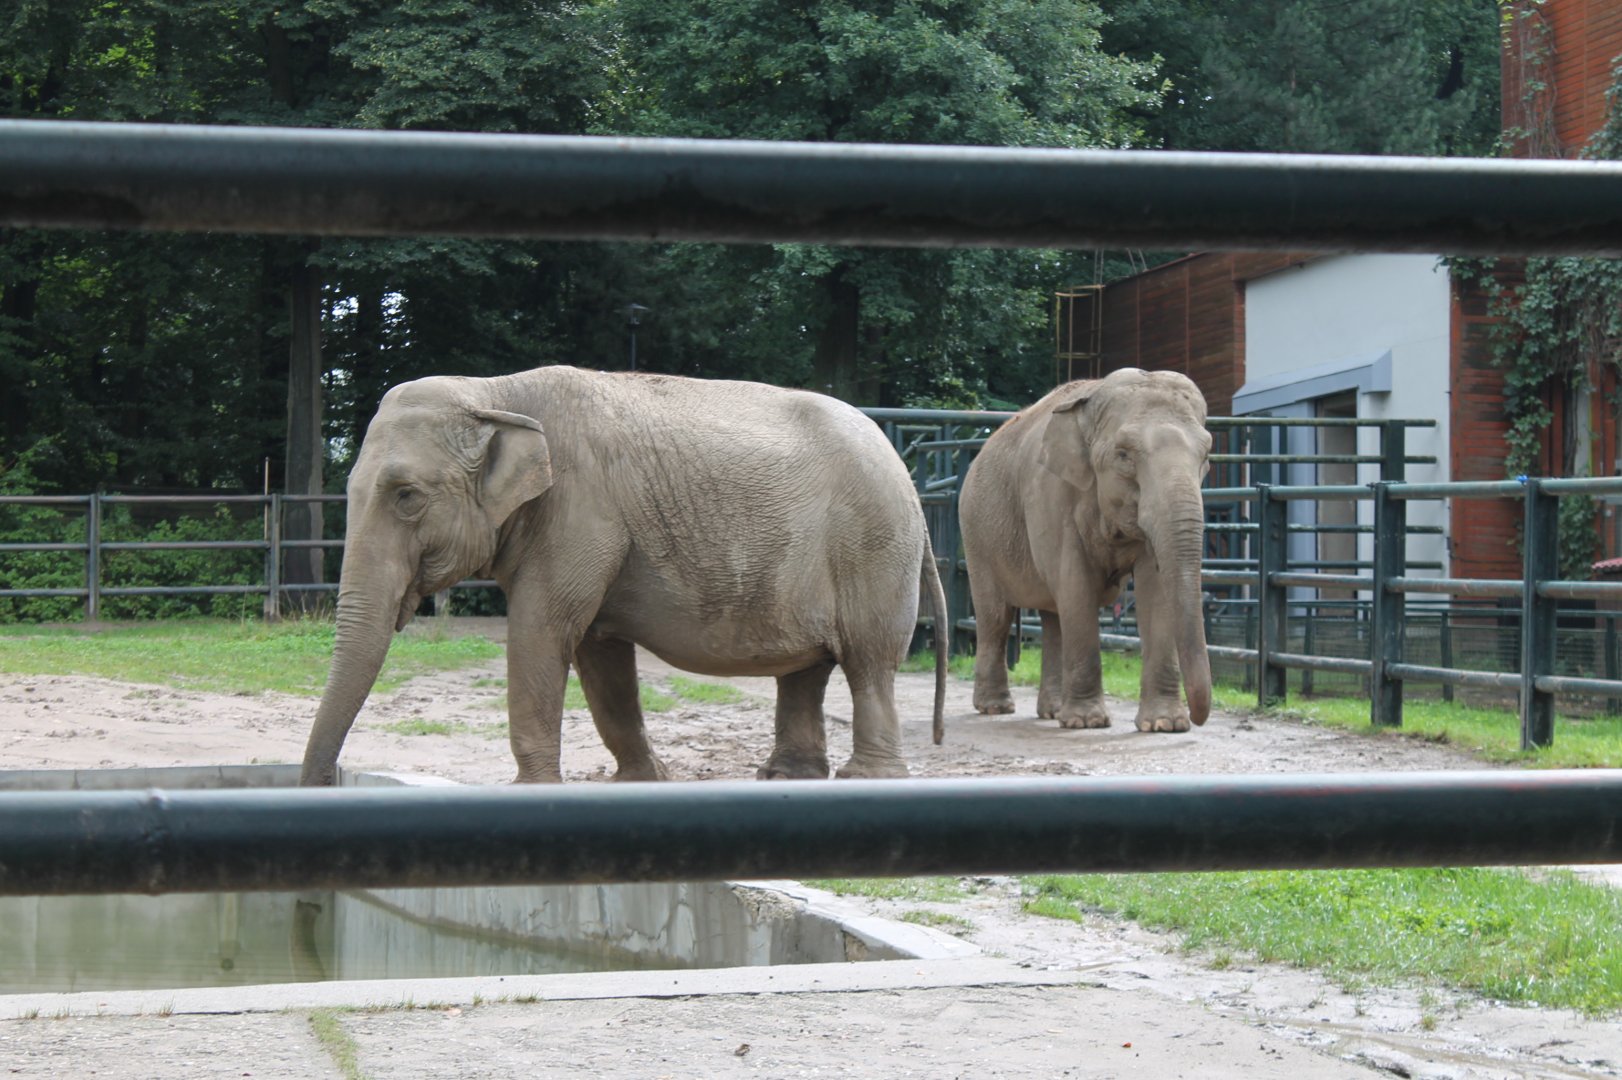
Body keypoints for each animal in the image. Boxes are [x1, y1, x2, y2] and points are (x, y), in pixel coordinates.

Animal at [299, 365, 947, 787]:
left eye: (406, 496)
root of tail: (910, 483)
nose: (325, 782)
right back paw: (786, 778)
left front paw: (533, 791)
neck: (491, 392)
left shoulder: (580, 512)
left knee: (869, 663)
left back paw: (867, 778)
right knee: (807, 673)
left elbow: (541, 633)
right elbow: (598, 654)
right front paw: (641, 782)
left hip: (874, 548)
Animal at [958, 367, 1212, 733]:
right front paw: (1086, 722)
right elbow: (1076, 584)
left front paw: (1165, 725)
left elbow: (1155, 589)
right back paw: (996, 708)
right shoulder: (1051, 493)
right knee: (995, 616)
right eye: (1123, 454)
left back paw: (1051, 712)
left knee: (1052, 616)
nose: (1198, 718)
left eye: (1206, 456)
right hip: (976, 535)